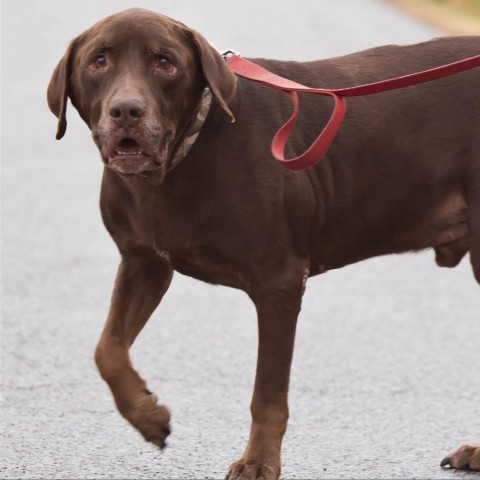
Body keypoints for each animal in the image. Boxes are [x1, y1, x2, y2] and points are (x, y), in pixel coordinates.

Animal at [48, 8, 480, 480]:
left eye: (165, 63)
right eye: (99, 61)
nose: (126, 110)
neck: (177, 164)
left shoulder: (280, 283)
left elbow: (268, 395)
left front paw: (258, 462)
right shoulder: (143, 263)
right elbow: (107, 350)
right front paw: (148, 417)